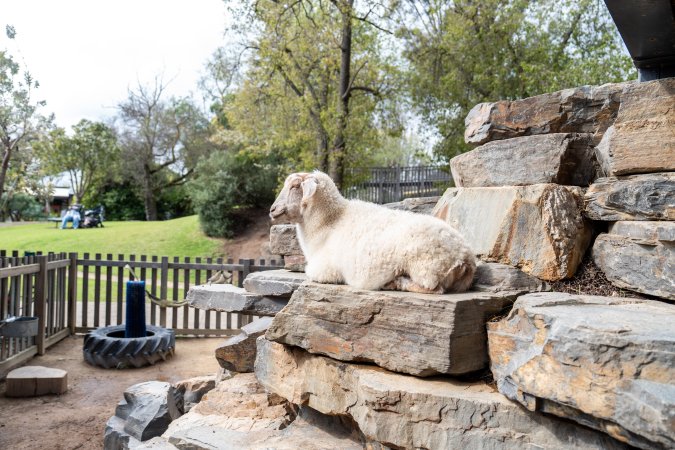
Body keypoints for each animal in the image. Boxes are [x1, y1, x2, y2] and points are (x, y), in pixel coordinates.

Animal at [269, 171, 476, 294]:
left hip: (426, 267)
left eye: (296, 185)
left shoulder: (323, 270)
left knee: (433, 289)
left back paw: (395, 283)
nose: (272, 210)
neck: (329, 223)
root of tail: (465, 257)